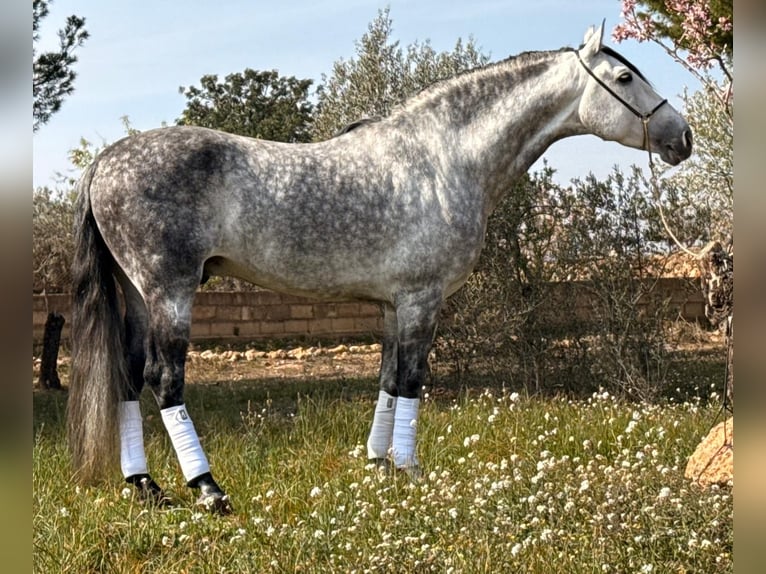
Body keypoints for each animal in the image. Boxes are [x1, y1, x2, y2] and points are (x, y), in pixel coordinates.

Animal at [69, 24, 692, 516]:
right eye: (625, 77)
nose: (682, 136)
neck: (445, 158)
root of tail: (106, 160)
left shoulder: (395, 304)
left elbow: (389, 380)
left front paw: (378, 466)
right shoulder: (422, 300)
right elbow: (413, 380)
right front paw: (411, 472)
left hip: (137, 294)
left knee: (127, 375)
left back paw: (145, 487)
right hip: (170, 293)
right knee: (164, 380)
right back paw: (208, 489)